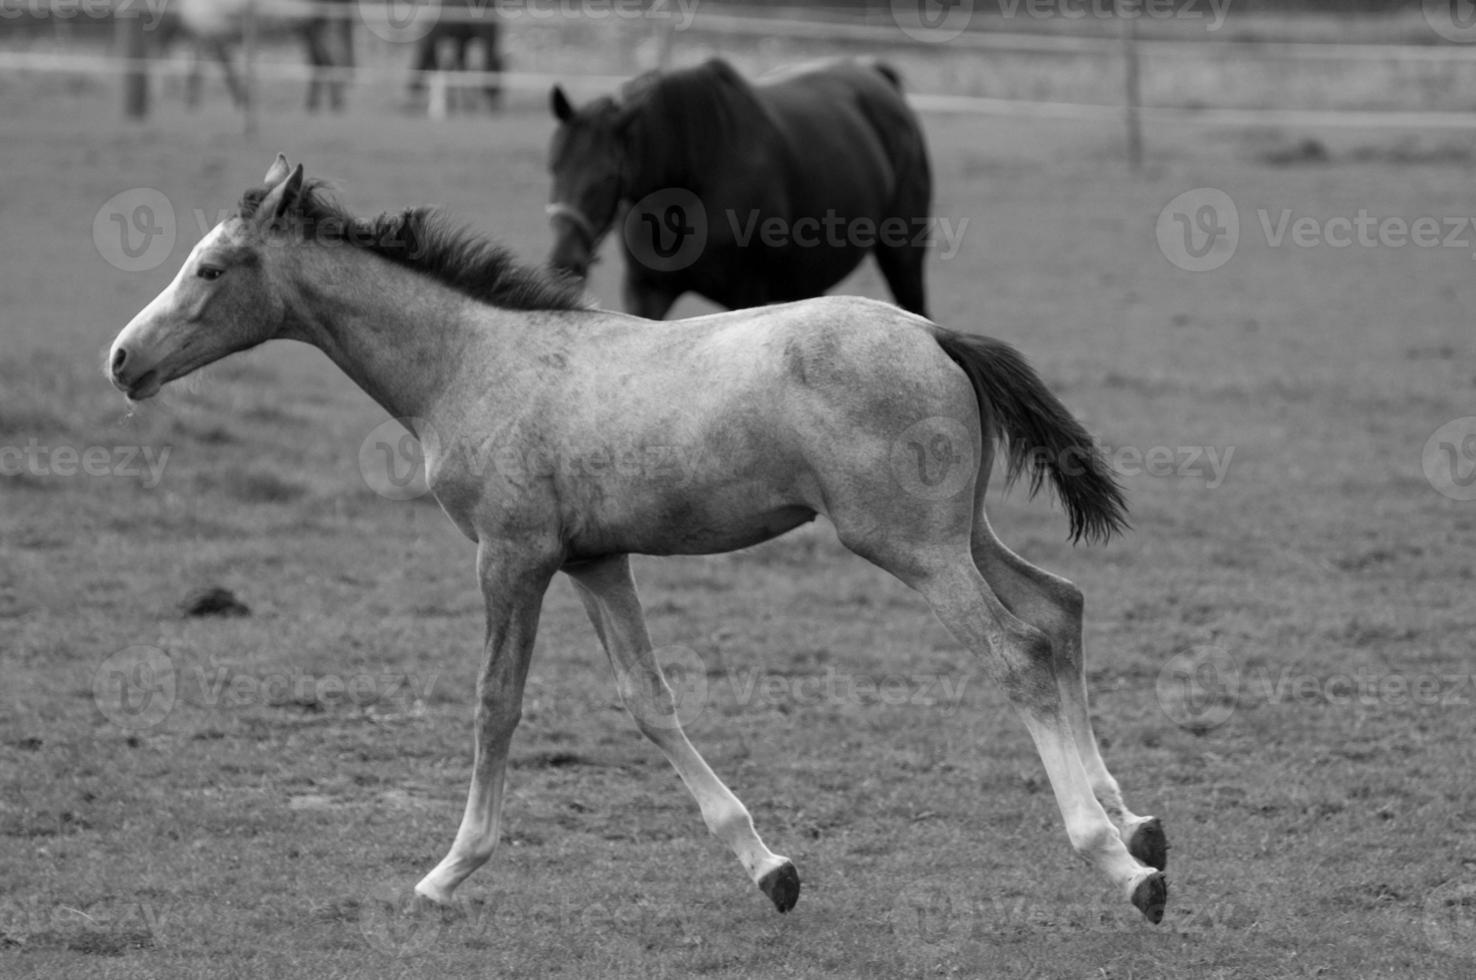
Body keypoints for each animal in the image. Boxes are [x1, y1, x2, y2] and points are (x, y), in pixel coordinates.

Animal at [109, 157, 1168, 920]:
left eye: (211, 268)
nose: (122, 359)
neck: (470, 363)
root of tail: (936, 332)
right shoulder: (594, 560)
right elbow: (649, 701)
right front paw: (769, 867)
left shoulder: (512, 556)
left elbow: (495, 704)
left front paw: (449, 871)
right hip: (960, 533)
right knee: (1060, 608)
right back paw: (1138, 824)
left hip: (909, 545)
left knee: (1018, 647)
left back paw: (1119, 866)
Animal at [543, 58, 932, 317]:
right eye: (554, 166)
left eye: (608, 176)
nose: (563, 259)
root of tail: (879, 77)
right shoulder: (647, 291)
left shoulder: (746, 294)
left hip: (903, 257)